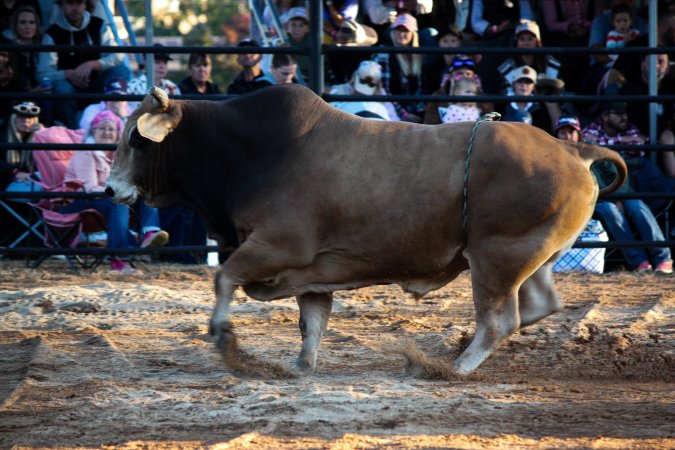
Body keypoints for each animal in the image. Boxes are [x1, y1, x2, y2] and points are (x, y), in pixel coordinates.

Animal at [105, 84, 627, 376]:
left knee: (500, 320)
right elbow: (312, 321)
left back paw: (449, 368)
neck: (243, 152)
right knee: (538, 305)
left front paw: (223, 336)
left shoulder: (277, 246)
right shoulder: (310, 273)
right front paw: (301, 366)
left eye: (136, 138)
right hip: (530, 258)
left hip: (495, 257)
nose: (110, 189)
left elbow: (224, 277)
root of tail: (573, 150)